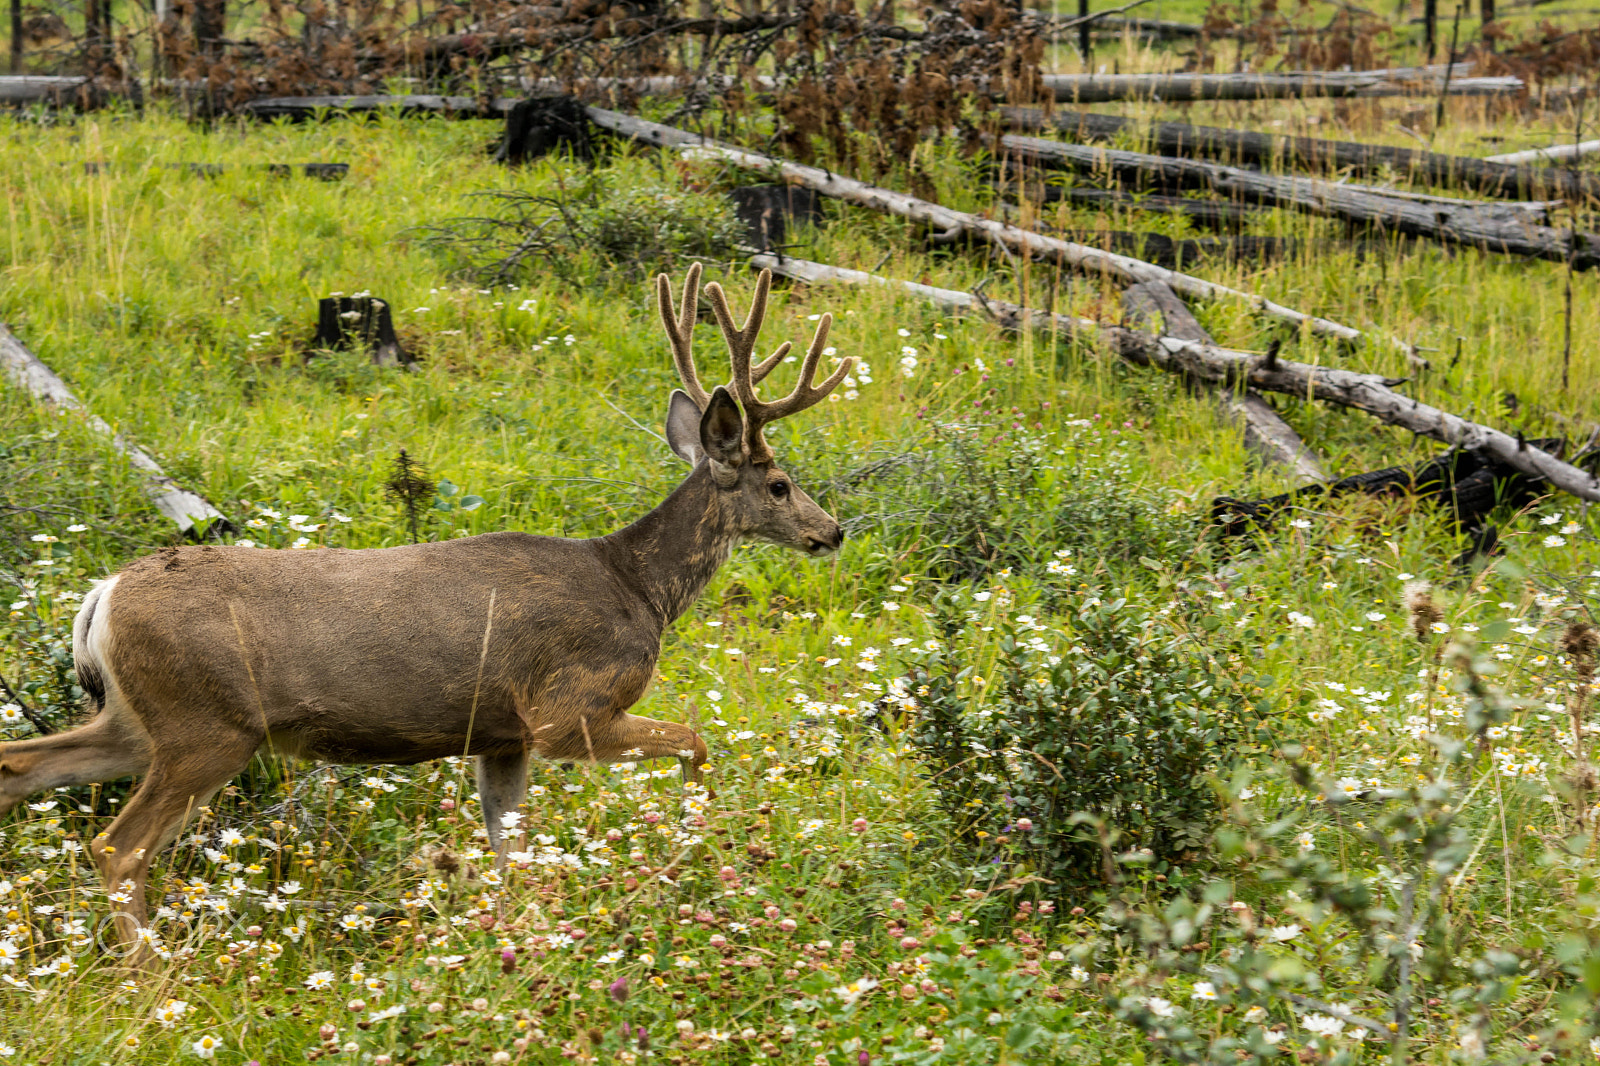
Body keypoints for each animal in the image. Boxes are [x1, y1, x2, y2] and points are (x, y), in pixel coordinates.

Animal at [0, 264, 853, 962]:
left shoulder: (504, 738)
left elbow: (509, 849)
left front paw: (520, 938)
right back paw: (152, 976)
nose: (833, 531)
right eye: (779, 483)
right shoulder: (568, 708)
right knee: (117, 847)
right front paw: (692, 832)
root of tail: (104, 594)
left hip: (139, 720)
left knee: (22, 766)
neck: (635, 586)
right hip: (205, 723)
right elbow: (695, 740)